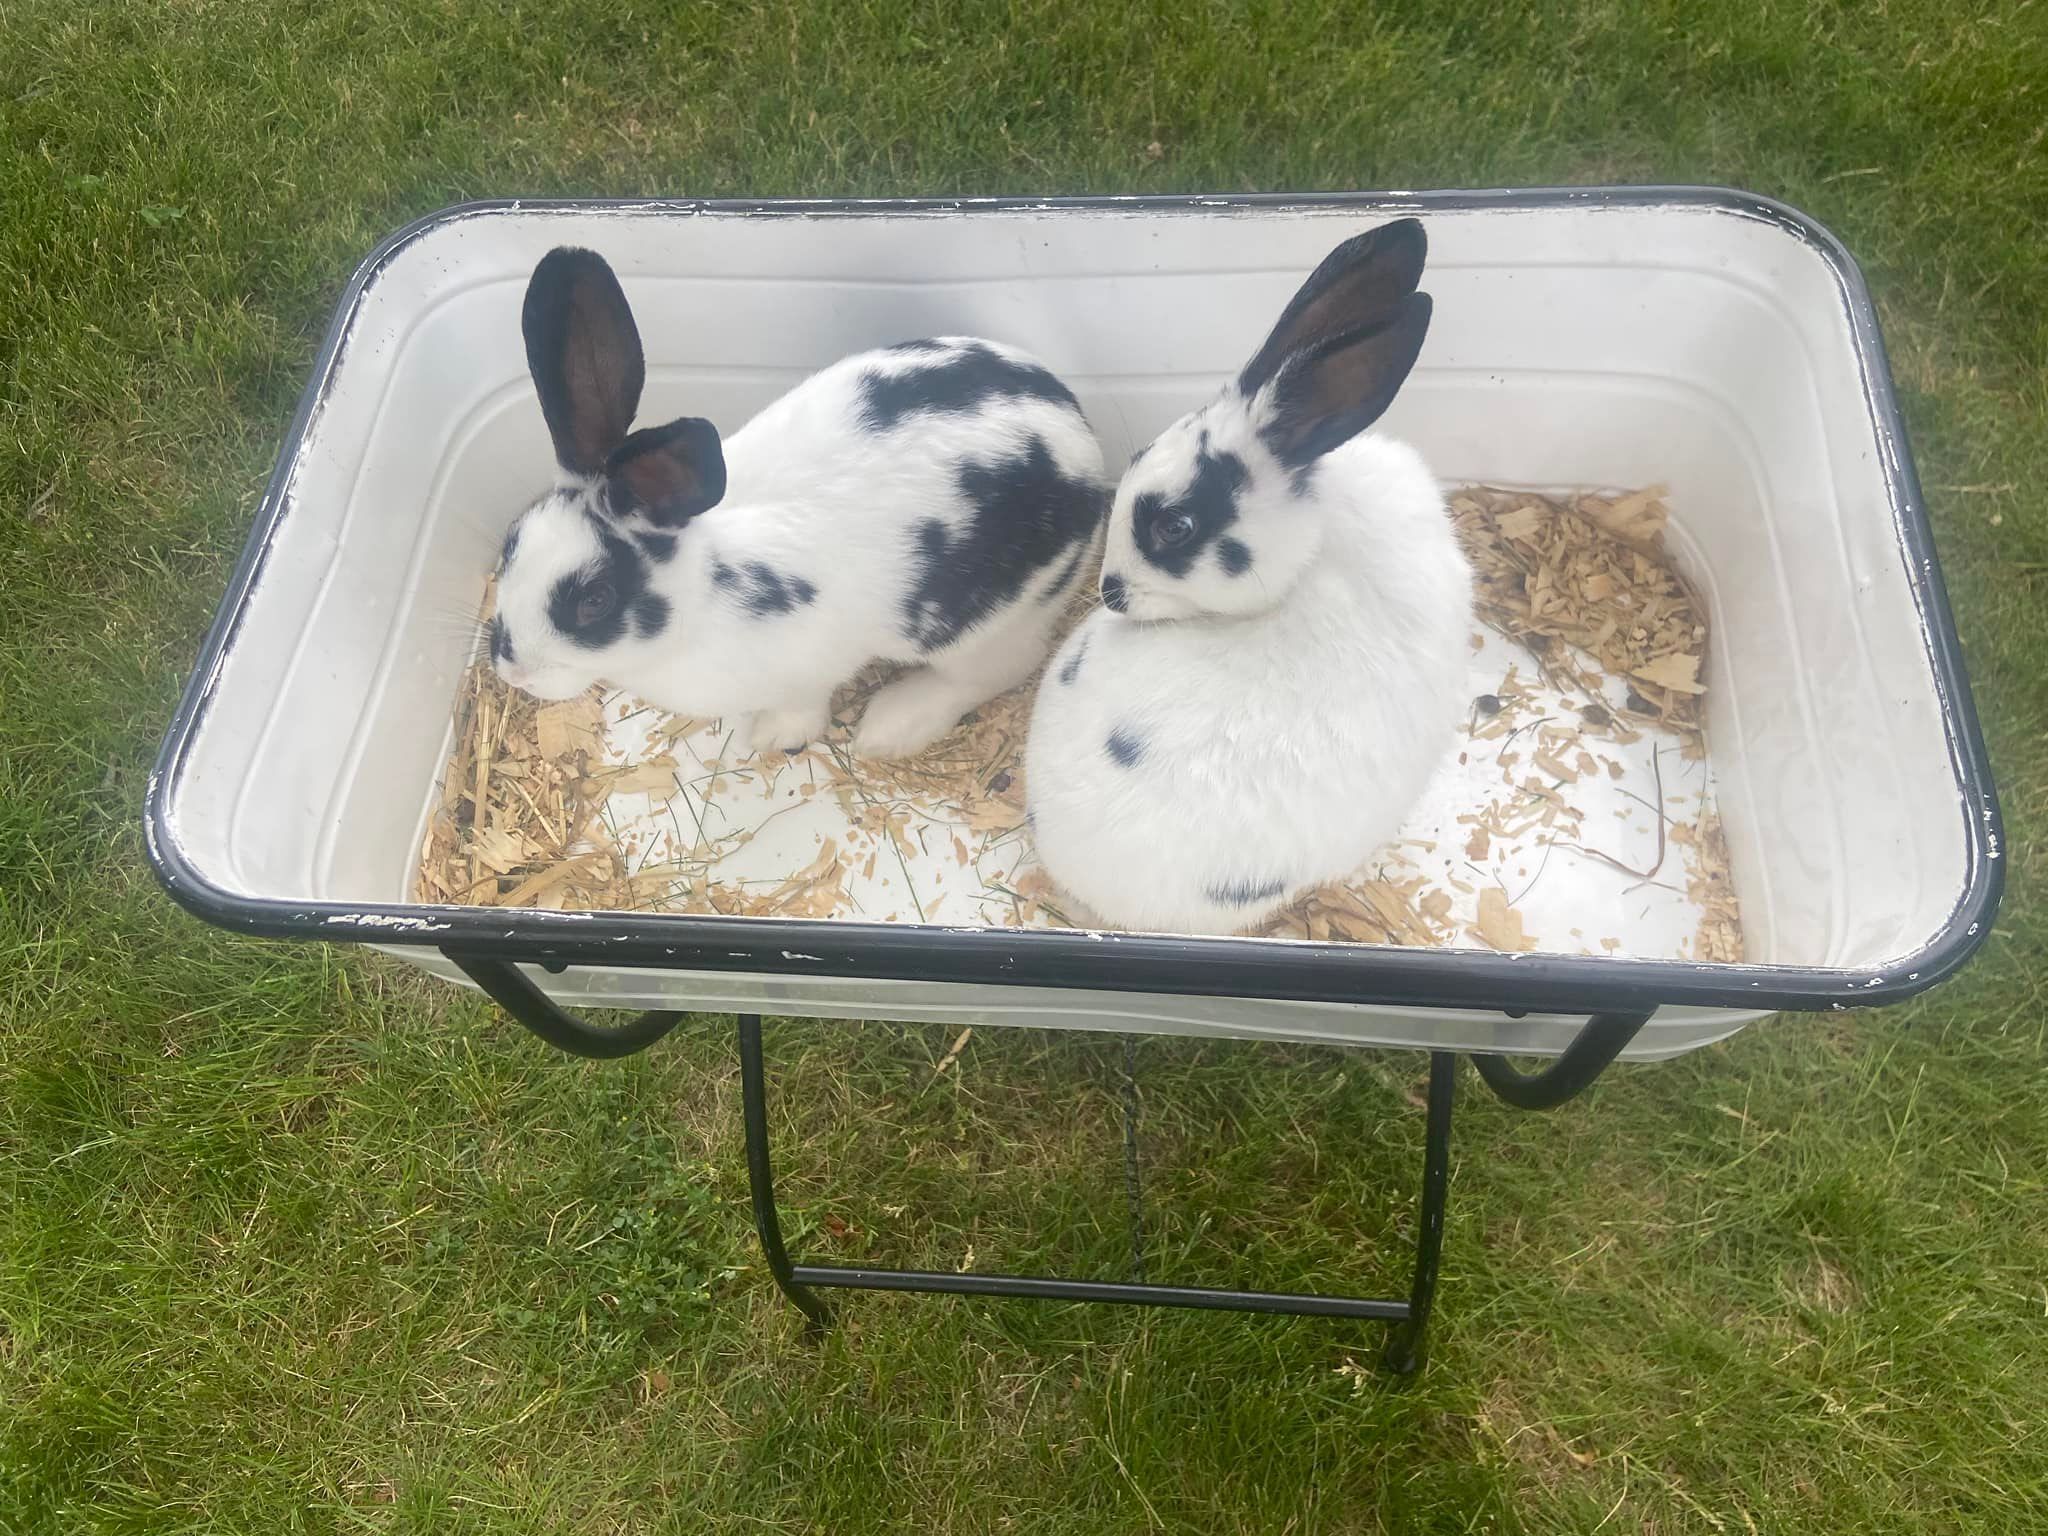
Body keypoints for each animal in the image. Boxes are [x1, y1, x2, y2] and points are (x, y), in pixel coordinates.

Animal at [488, 247, 1109, 758]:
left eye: (595, 600)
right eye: (511, 544)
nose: (513, 671)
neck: (706, 592)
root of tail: (1082, 433)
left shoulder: (809, 669)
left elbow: (803, 706)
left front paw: (774, 735)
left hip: (989, 624)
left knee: (995, 671)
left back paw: (890, 726)